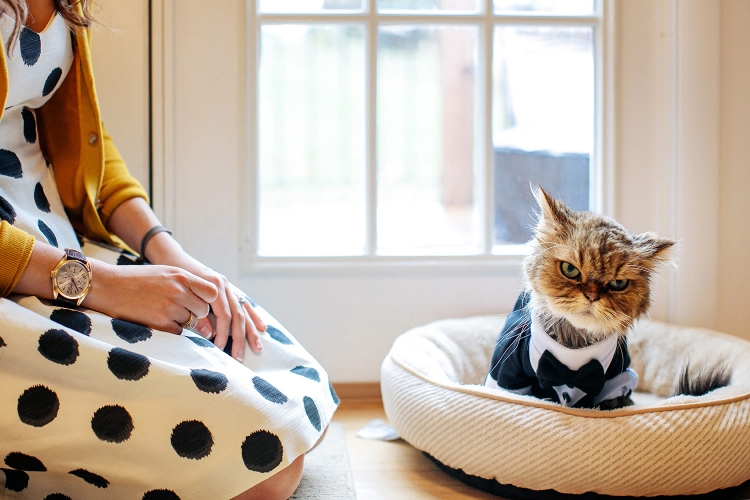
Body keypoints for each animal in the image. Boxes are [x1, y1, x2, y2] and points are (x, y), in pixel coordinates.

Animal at [485, 185, 730, 409]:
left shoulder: (618, 380)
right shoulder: (507, 376)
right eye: (570, 269)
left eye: (618, 284)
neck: (573, 354)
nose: (592, 296)